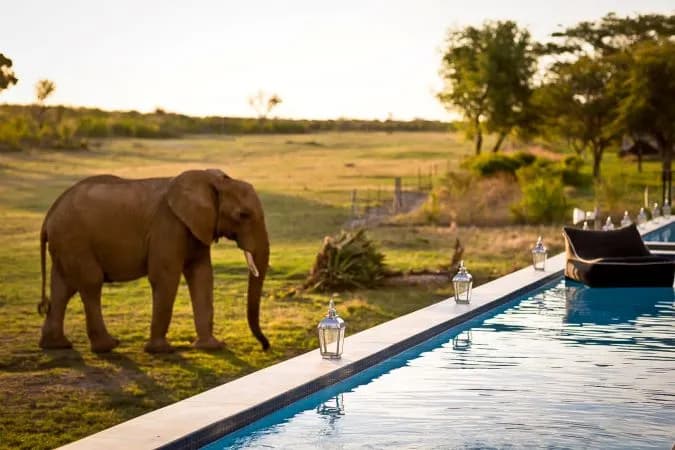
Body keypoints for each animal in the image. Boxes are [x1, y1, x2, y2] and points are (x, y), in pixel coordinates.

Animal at [37, 169, 270, 353]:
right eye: (243, 215)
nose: (265, 346)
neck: (211, 180)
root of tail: (49, 215)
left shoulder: (196, 227)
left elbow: (202, 275)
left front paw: (212, 347)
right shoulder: (167, 225)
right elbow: (165, 277)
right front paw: (162, 351)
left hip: (65, 243)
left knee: (63, 287)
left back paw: (56, 346)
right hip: (75, 240)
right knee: (90, 283)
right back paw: (108, 346)